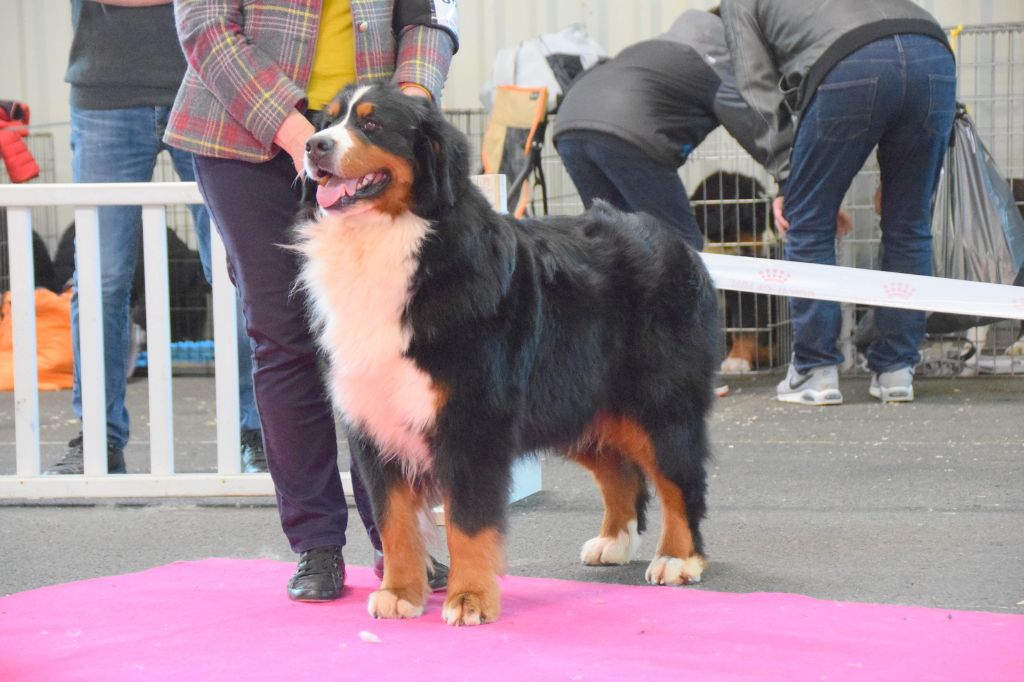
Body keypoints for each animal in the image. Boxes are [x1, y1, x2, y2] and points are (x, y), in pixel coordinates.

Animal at [292, 82, 716, 622]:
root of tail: (672, 238)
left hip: (658, 399)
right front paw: (400, 594)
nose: (313, 146)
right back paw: (614, 542)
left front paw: (470, 598)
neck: (389, 243)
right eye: (326, 121)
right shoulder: (374, 422)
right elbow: (395, 523)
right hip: (574, 401)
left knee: (679, 478)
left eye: (371, 124)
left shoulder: (472, 420)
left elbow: (468, 523)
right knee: (620, 472)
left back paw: (679, 558)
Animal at [692, 169, 778, 372]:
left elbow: (744, 327)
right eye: (755, 218)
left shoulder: (747, 294)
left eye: (771, 219)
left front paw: (737, 360)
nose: (774, 249)